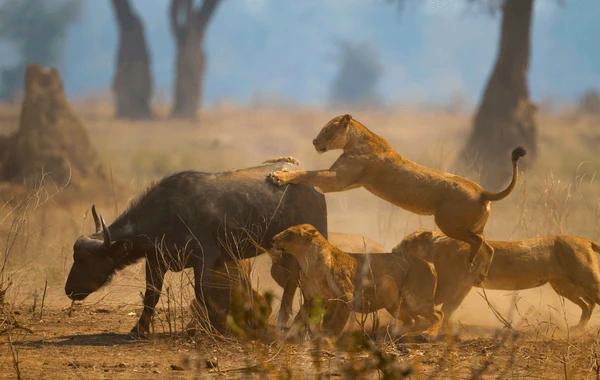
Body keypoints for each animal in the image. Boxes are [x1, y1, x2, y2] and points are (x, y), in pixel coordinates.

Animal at [64, 159, 328, 336]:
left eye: (87, 260)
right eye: (75, 255)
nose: (69, 290)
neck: (167, 215)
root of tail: (313, 186)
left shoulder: (204, 259)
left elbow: (202, 293)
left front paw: (211, 327)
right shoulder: (156, 261)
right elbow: (151, 295)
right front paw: (138, 329)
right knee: (293, 281)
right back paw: (286, 322)